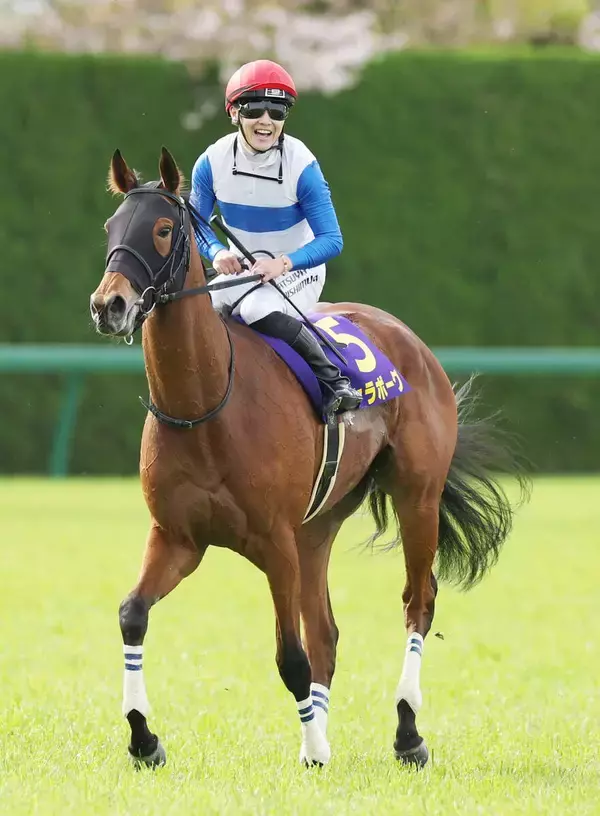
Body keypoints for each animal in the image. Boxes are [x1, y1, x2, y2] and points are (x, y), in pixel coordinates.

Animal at [89, 147, 529, 769]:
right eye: (110, 227)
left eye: (163, 229)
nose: (110, 305)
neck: (205, 405)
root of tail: (407, 337)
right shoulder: (178, 537)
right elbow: (133, 614)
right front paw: (143, 737)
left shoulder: (274, 542)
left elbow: (289, 655)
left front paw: (316, 749)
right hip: (316, 528)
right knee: (326, 630)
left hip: (416, 497)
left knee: (417, 603)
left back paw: (407, 732)